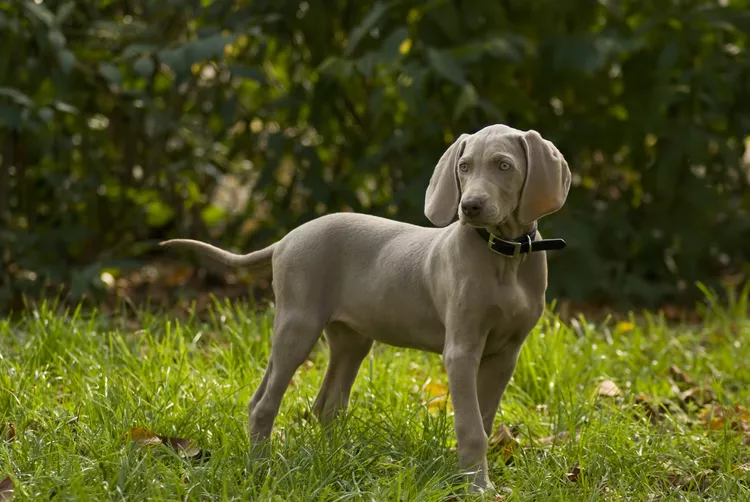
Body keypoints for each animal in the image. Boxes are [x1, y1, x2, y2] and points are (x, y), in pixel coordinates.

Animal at [160, 123, 568, 492]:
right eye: (464, 166)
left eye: (503, 165)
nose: (469, 206)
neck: (506, 255)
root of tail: (287, 238)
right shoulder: (462, 351)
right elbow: (471, 428)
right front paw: (478, 488)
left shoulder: (506, 354)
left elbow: (484, 419)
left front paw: (476, 480)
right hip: (298, 324)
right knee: (264, 403)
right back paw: (261, 469)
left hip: (350, 339)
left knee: (325, 405)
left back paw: (335, 460)